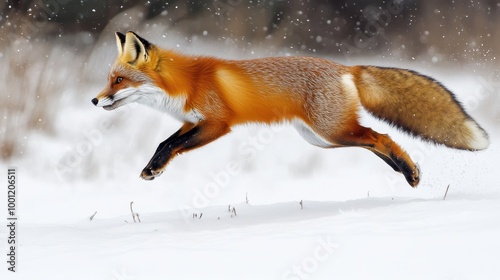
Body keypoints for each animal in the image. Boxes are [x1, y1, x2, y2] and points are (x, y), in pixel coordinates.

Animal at [91, 31, 488, 186]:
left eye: (118, 81)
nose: (94, 100)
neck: (187, 83)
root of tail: (346, 67)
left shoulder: (217, 124)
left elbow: (172, 145)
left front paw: (154, 169)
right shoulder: (193, 122)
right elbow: (164, 143)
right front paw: (153, 166)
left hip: (331, 132)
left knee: (380, 136)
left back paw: (409, 171)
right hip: (323, 139)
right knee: (374, 141)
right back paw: (407, 170)